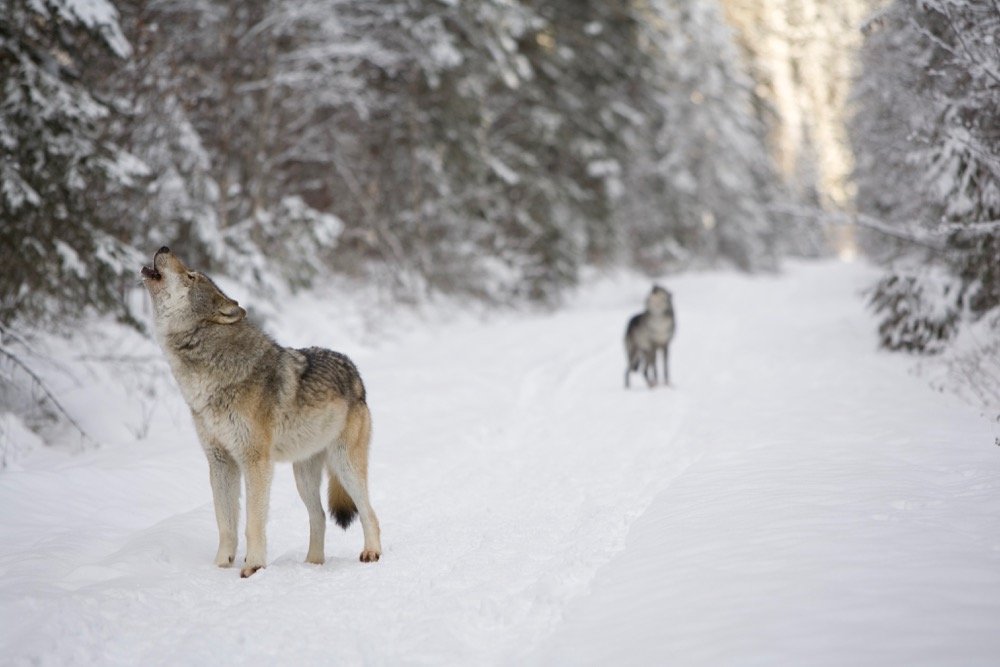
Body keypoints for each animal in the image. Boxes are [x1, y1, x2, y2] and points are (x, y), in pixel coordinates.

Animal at [141, 247, 381, 577]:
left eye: (191, 277)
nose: (163, 248)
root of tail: (355, 372)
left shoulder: (255, 462)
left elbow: (252, 523)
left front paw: (253, 567)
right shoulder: (220, 462)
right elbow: (226, 524)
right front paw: (221, 566)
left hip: (344, 465)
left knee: (370, 512)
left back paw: (371, 552)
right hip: (303, 476)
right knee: (318, 516)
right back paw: (312, 564)